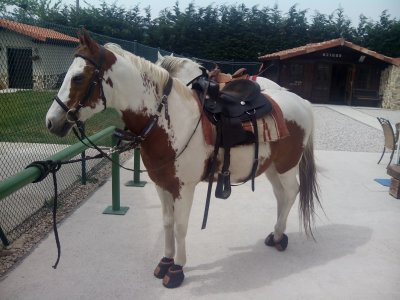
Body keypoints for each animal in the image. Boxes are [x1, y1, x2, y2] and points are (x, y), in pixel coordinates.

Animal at [46, 30, 322, 288]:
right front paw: (165, 262)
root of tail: (302, 102)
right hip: (272, 168)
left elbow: (180, 227)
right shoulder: (162, 185)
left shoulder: (183, 188)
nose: (51, 122)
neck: (170, 120)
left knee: (291, 193)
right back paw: (276, 234)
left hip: (286, 167)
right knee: (281, 196)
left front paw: (177, 270)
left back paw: (280, 238)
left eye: (78, 77)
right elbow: (168, 223)